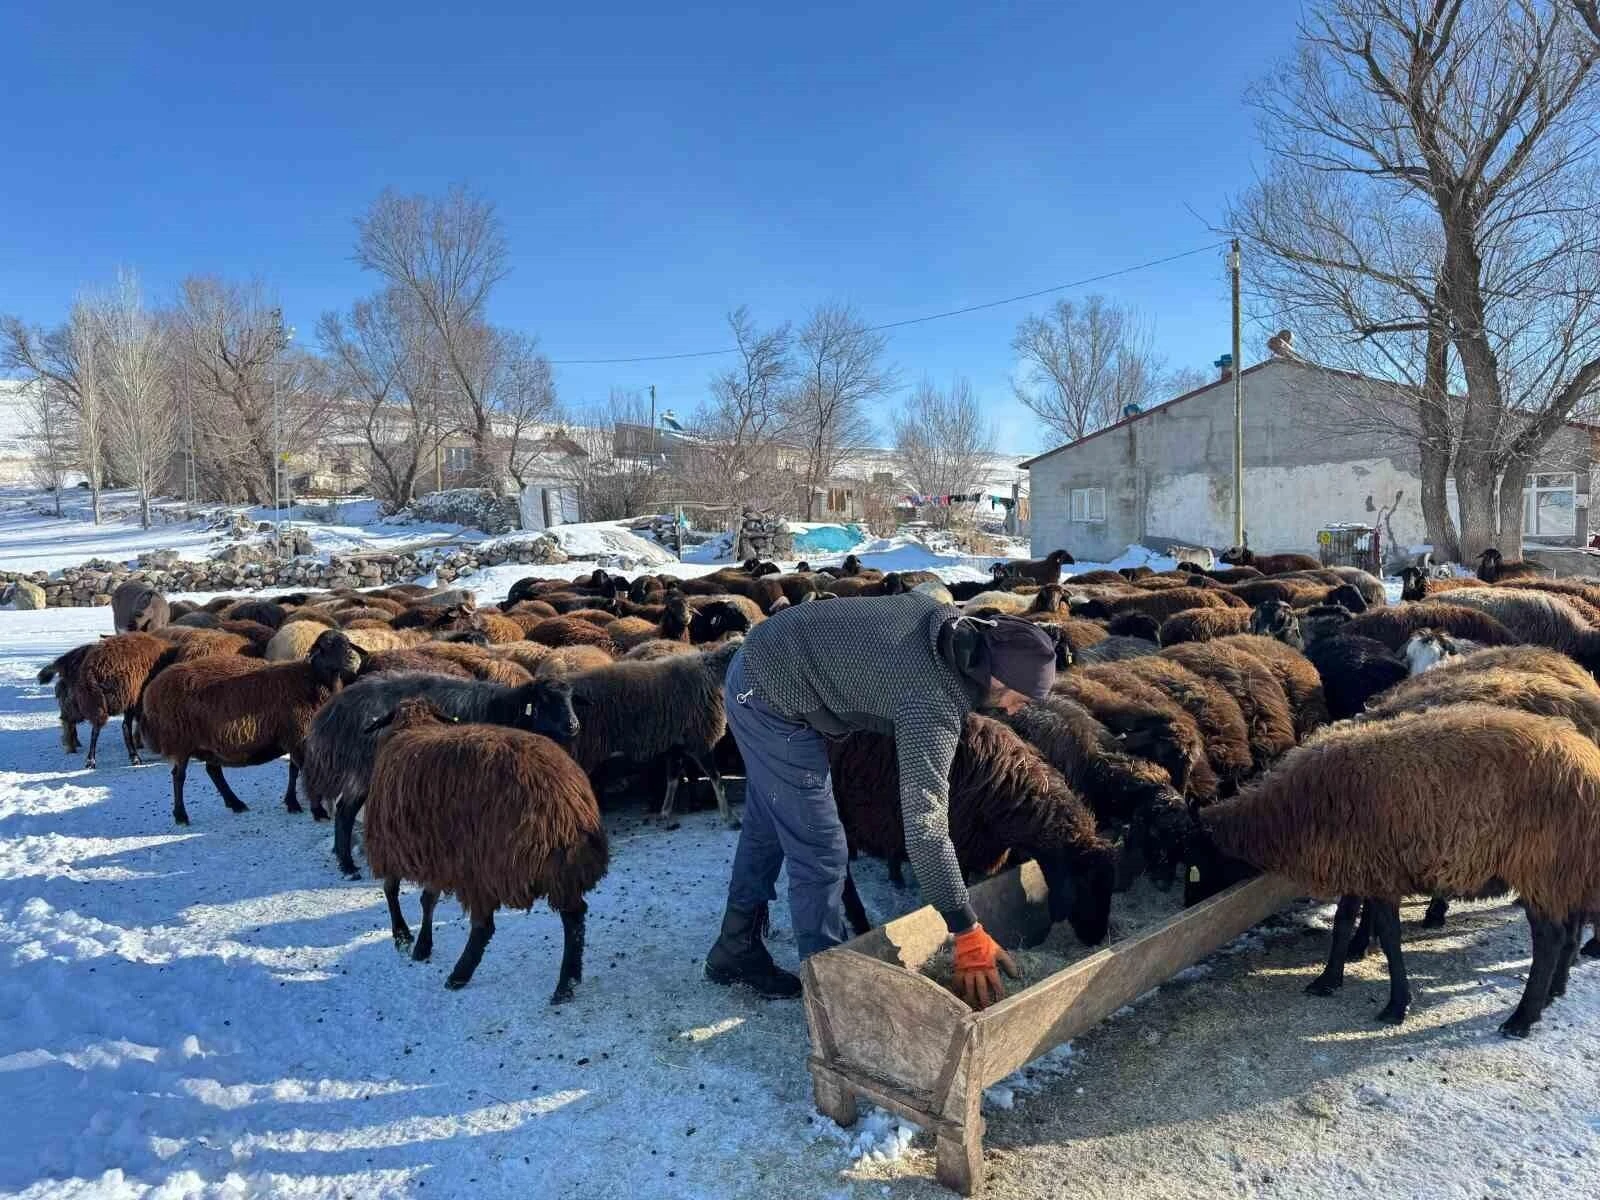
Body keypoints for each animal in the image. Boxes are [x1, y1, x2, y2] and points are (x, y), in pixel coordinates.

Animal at [140, 630, 366, 825]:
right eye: (326, 646)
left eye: (348, 642)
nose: (353, 660)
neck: (313, 680)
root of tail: (152, 690)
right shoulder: (298, 736)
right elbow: (304, 773)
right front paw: (317, 811)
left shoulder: (294, 736)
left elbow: (293, 770)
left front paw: (292, 803)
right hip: (181, 741)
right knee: (179, 776)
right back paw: (181, 815)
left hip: (209, 744)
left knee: (213, 771)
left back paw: (235, 803)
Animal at [366, 700, 608, 998]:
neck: (414, 725)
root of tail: (566, 805)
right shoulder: (439, 855)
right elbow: (427, 900)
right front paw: (422, 944)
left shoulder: (390, 845)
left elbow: (391, 889)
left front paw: (402, 936)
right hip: (556, 867)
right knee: (575, 914)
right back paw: (568, 982)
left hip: (487, 865)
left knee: (485, 927)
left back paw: (461, 975)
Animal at [1196, 710, 1600, 1036]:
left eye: (1195, 864)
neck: (1292, 809)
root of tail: (1588, 764)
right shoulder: (1357, 866)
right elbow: (1343, 922)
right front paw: (1329, 979)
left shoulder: (1379, 872)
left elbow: (1390, 939)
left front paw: (1396, 1005)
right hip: (1566, 868)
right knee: (1568, 930)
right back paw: (1553, 993)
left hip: (1540, 865)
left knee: (1549, 939)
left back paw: (1522, 1019)